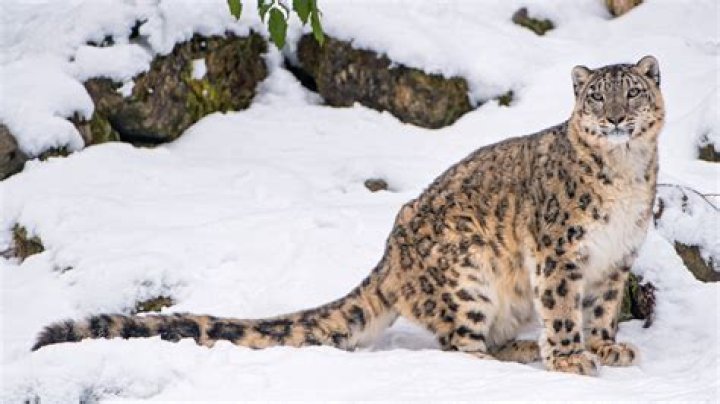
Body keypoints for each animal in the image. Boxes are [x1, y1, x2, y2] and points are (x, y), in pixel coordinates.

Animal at [32, 56, 664, 376]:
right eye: (596, 96)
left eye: (631, 92)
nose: (613, 117)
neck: (627, 173)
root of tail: (389, 255)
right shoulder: (560, 252)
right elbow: (562, 307)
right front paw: (572, 359)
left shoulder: (615, 257)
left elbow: (600, 308)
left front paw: (607, 347)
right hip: (469, 277)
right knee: (460, 344)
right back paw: (505, 362)